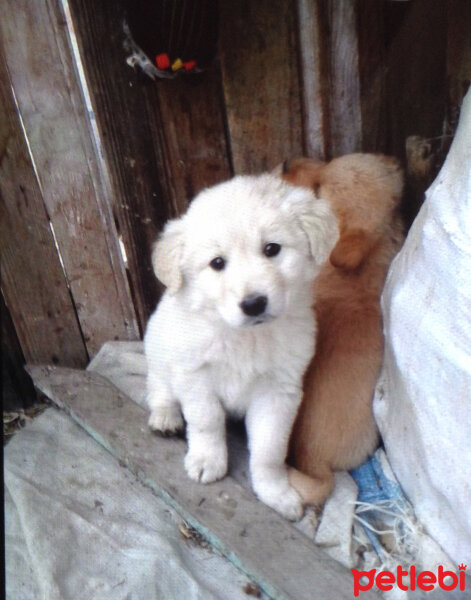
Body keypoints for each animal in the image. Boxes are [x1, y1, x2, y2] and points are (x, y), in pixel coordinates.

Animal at [145, 171, 340, 516]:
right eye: (217, 263)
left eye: (272, 248)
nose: (253, 304)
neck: (246, 337)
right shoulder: (194, 375)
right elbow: (207, 421)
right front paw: (207, 461)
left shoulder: (278, 391)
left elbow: (269, 450)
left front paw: (276, 493)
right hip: (158, 347)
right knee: (158, 386)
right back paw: (165, 417)